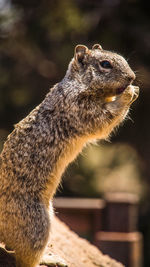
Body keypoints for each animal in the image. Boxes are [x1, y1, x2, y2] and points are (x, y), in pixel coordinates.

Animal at [0, 43, 139, 266]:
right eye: (105, 64)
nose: (132, 77)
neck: (78, 85)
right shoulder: (83, 111)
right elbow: (106, 119)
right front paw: (129, 92)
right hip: (36, 227)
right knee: (25, 259)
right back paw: (49, 259)